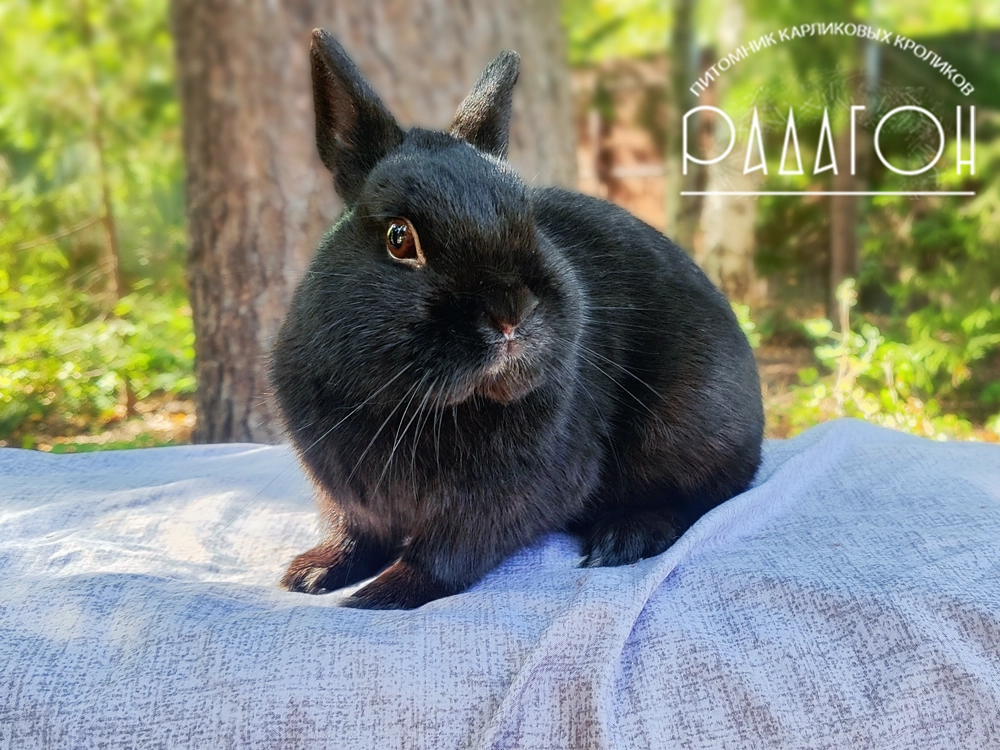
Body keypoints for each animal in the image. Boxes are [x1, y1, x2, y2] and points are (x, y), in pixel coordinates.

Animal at [270, 32, 760, 612]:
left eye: (527, 220)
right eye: (399, 238)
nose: (510, 315)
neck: (416, 407)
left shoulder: (501, 503)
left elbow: (448, 555)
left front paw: (381, 595)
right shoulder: (343, 495)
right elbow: (355, 533)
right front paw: (311, 573)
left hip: (685, 432)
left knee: (701, 498)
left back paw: (623, 537)